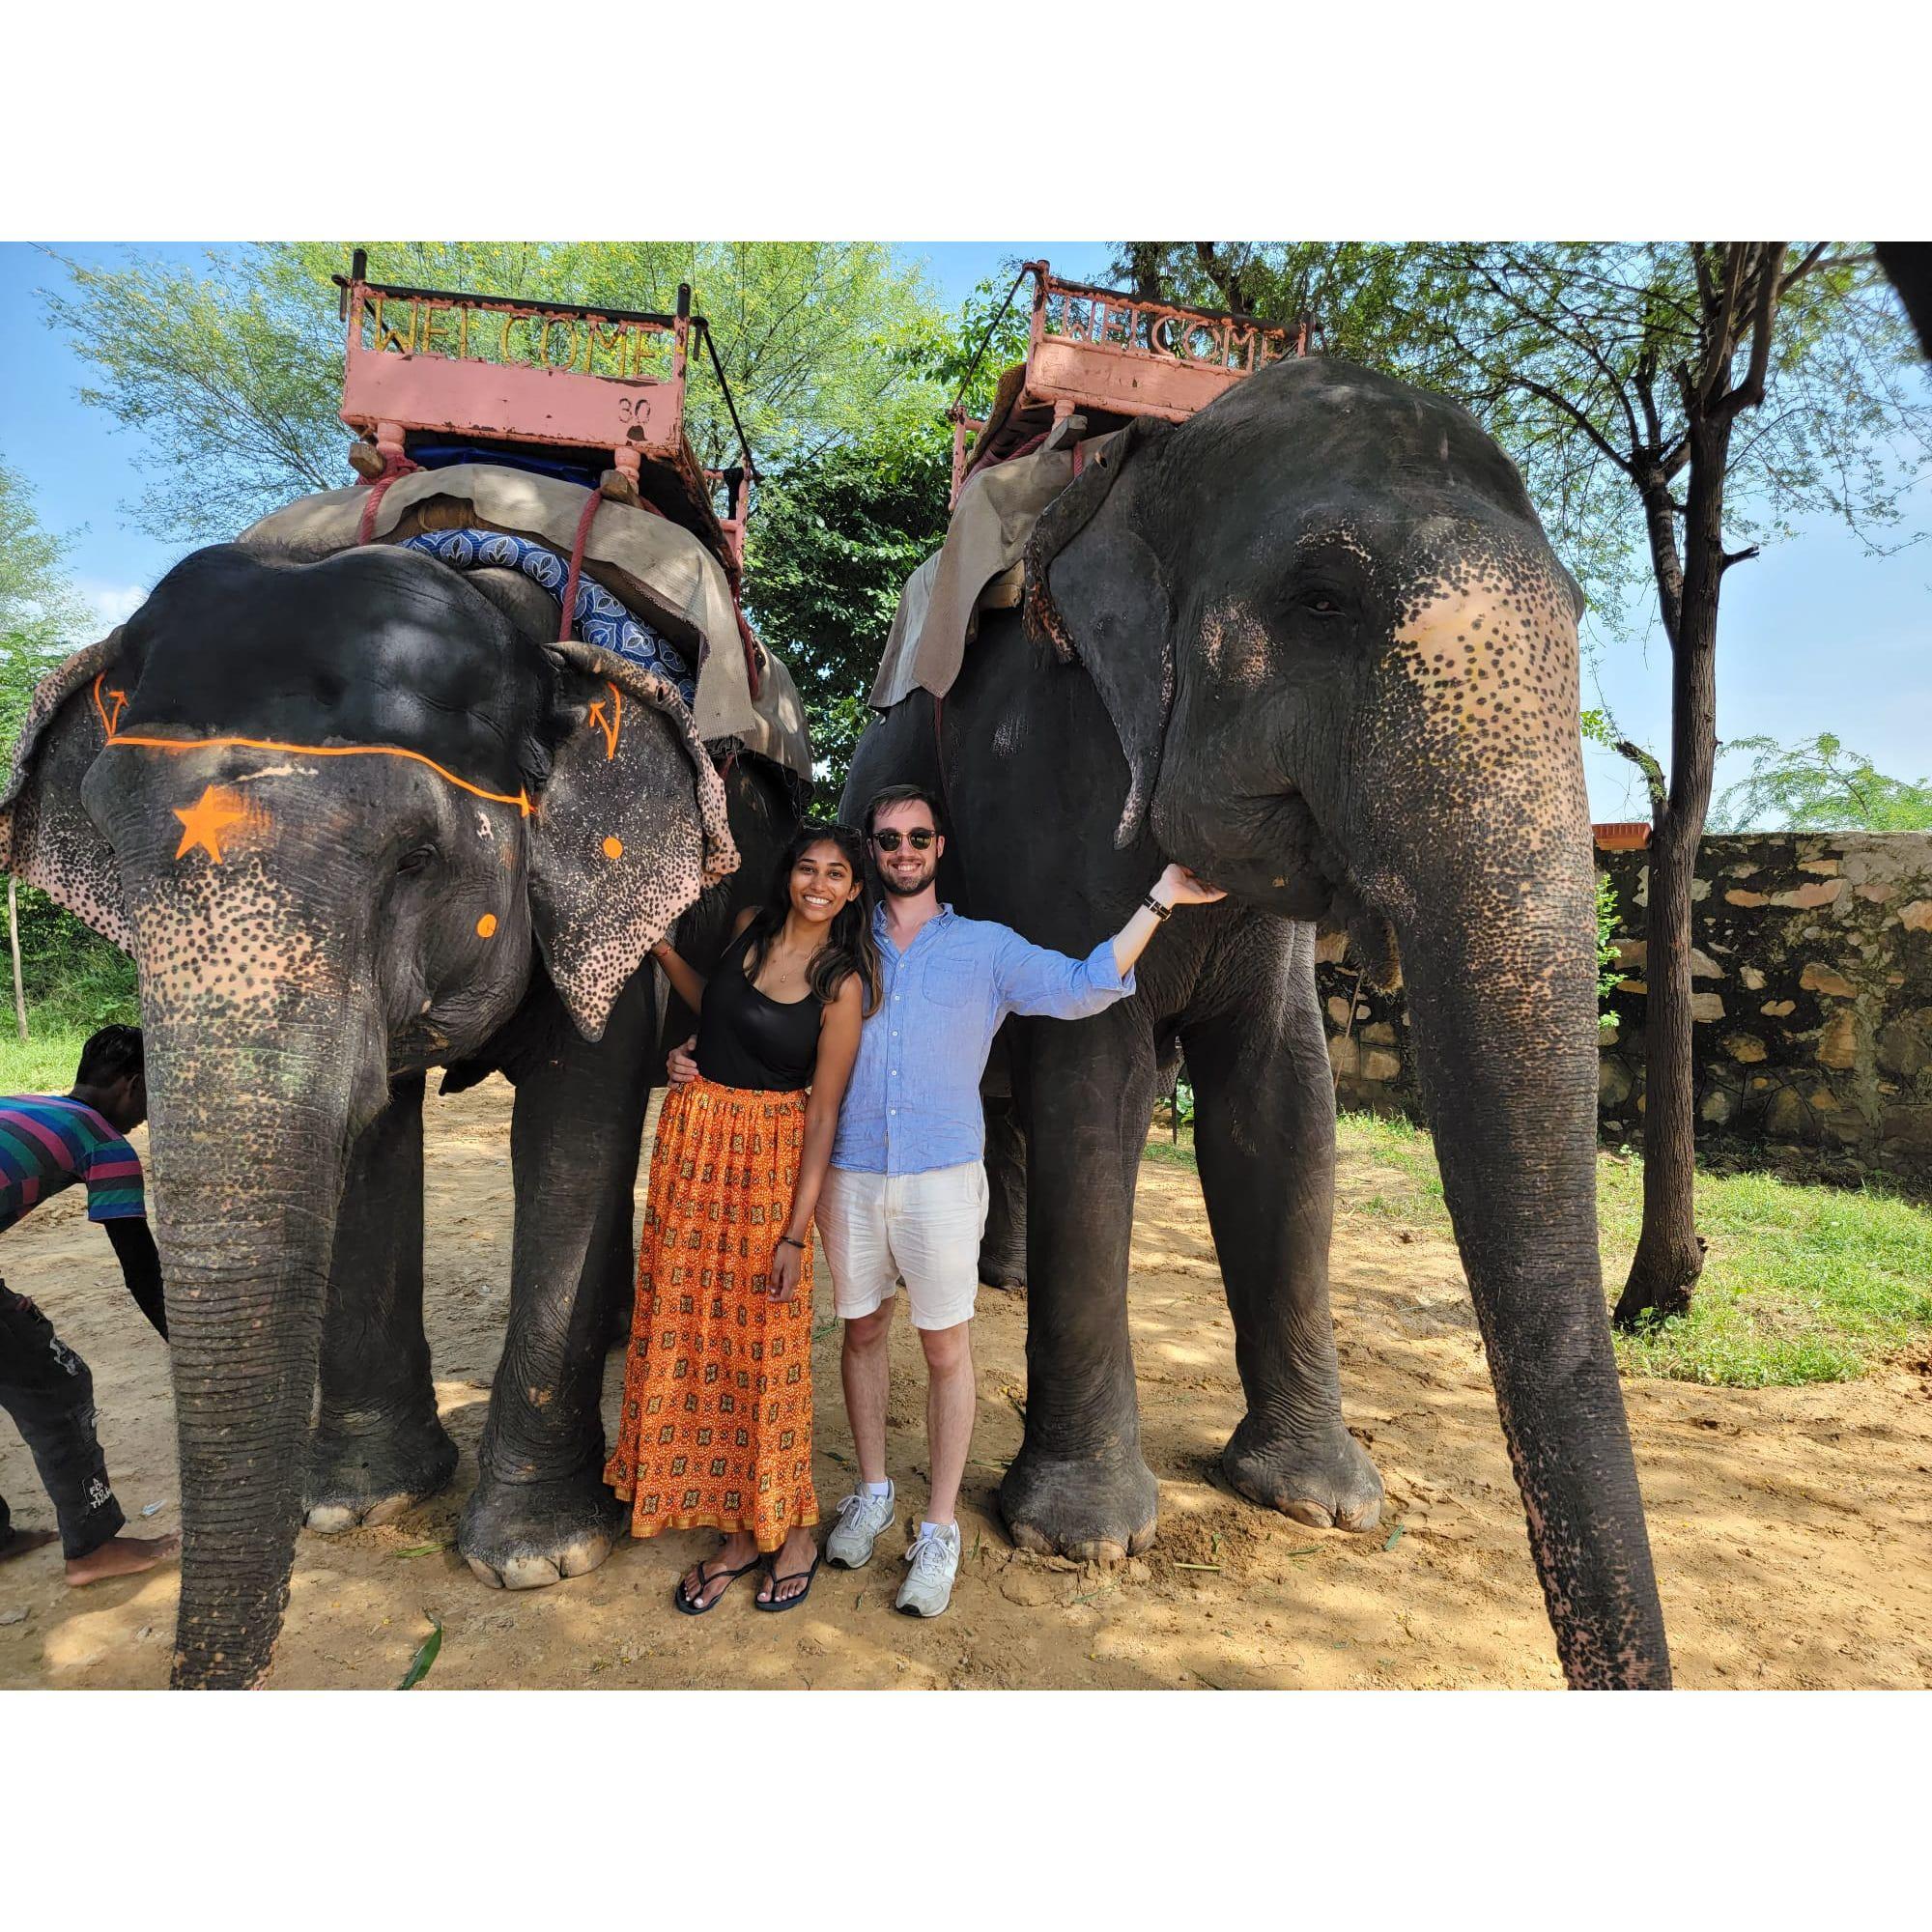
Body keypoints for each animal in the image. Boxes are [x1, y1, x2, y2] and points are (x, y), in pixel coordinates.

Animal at [0, 537, 800, 1685]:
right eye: (108, 846)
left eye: (417, 859)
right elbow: (375, 1133)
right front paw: (356, 1503)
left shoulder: (613, 916)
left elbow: (573, 1133)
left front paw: (539, 1558)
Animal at [850, 355, 1677, 1685]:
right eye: (1322, 598)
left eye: (1574, 609)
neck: (1157, 462)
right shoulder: (1045, 778)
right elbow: (1092, 1076)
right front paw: (1084, 1537)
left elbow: (1284, 1106)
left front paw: (1321, 1501)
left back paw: (1003, 1282)